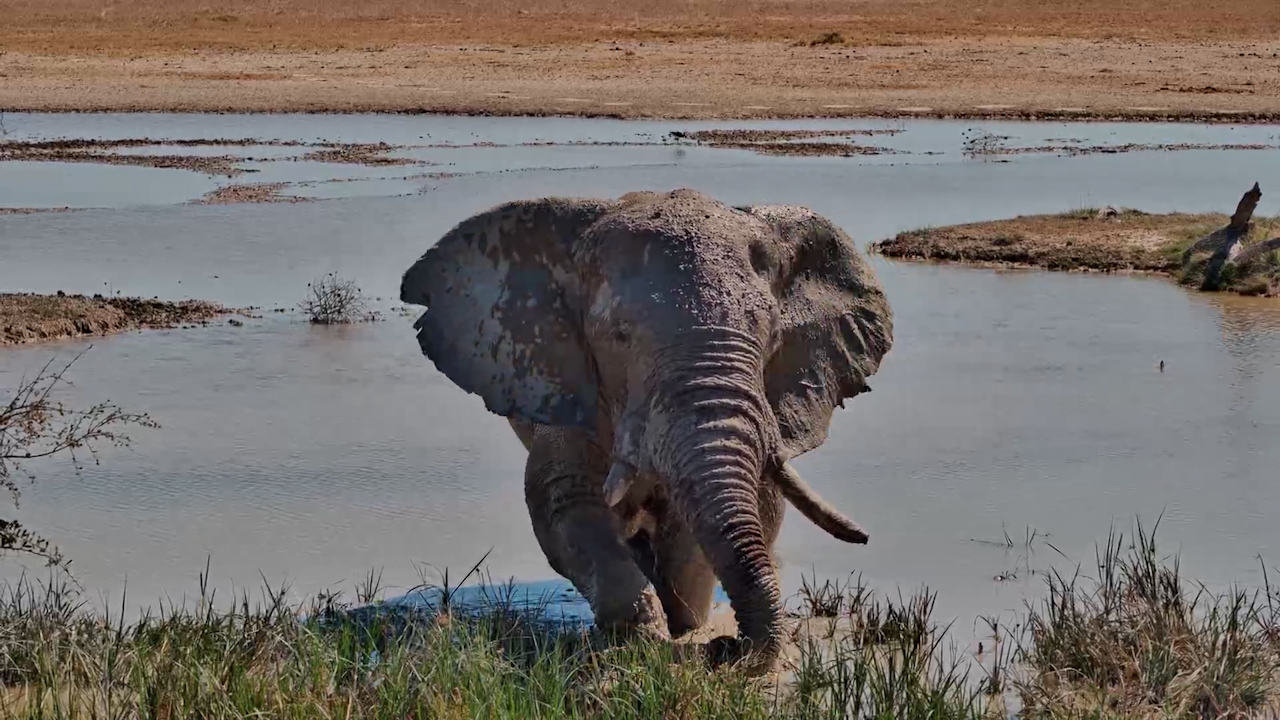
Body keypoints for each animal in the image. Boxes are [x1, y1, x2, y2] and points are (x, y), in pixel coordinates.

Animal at [400, 188, 893, 674]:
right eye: (619, 335)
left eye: (771, 335)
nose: (728, 648)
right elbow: (564, 505)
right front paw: (640, 639)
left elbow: (708, 524)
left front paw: (686, 630)